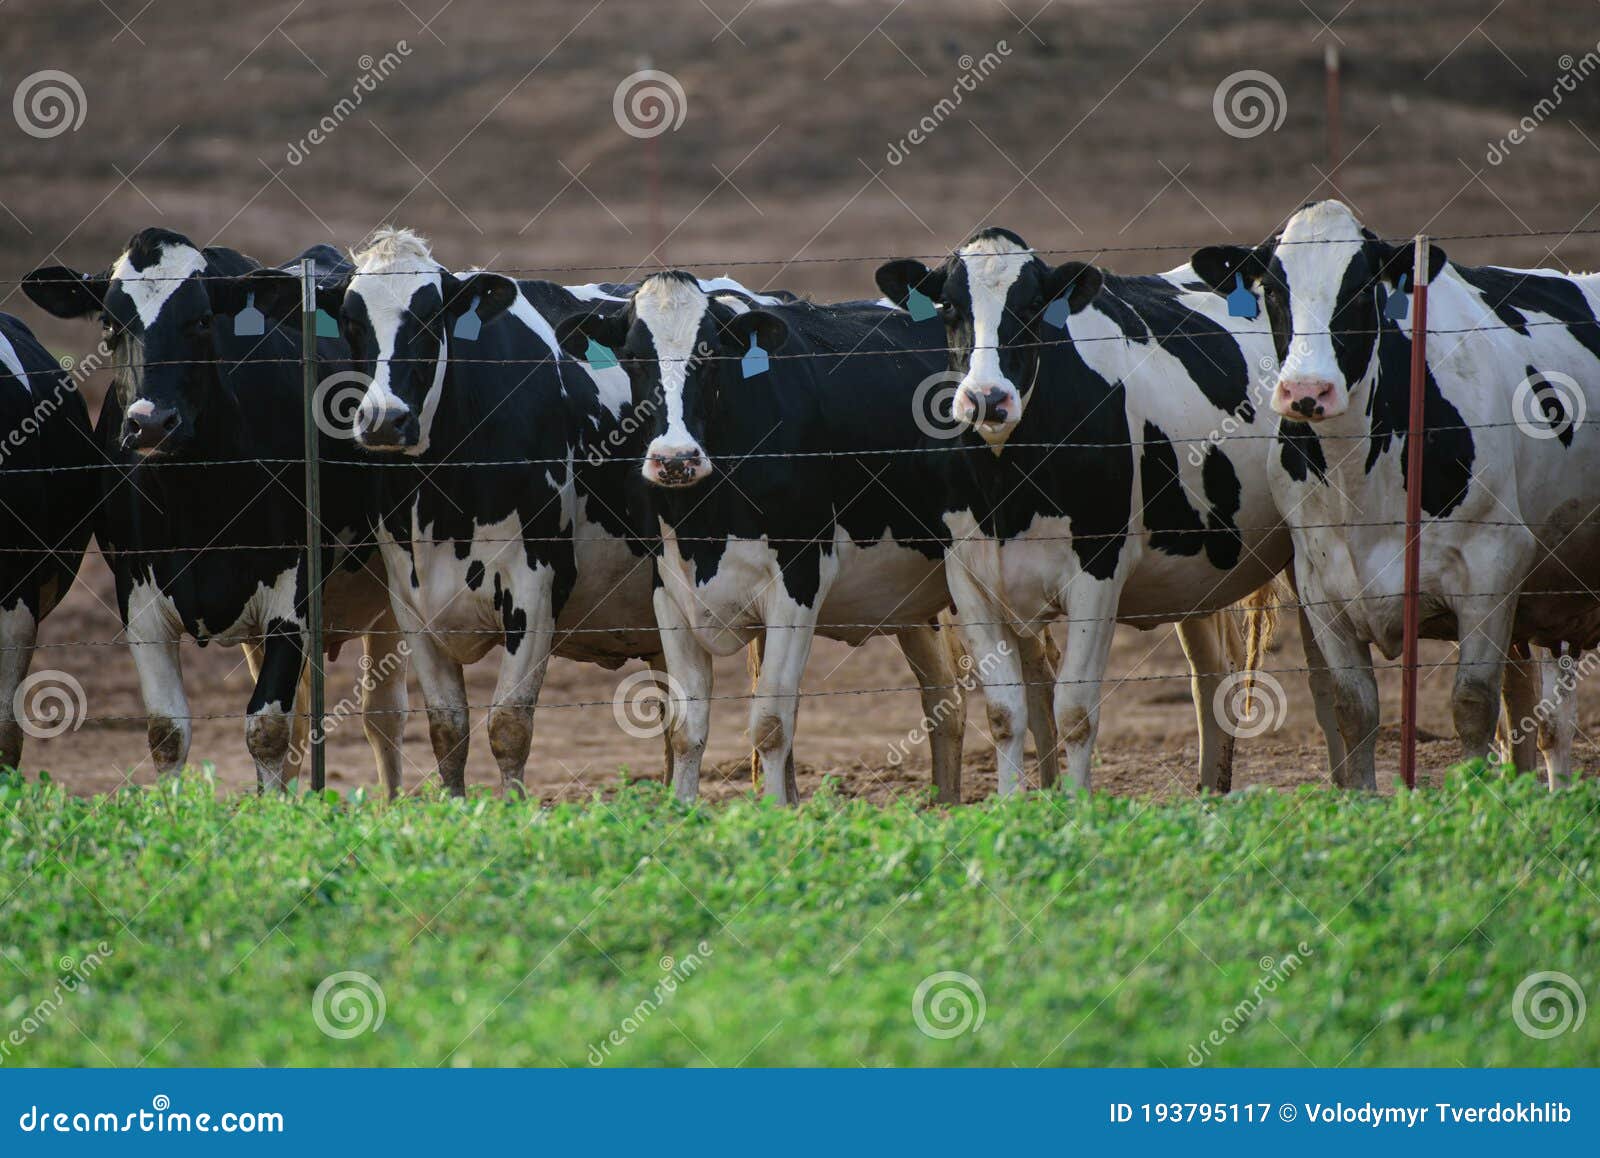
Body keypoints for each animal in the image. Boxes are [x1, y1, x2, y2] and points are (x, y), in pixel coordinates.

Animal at [22, 228, 406, 793]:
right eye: (110, 323)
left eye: (203, 319)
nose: (151, 422)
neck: (196, 497)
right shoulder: (137, 601)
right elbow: (167, 731)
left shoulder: (291, 597)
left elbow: (266, 729)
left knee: (383, 717)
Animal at [555, 271, 1062, 805]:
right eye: (633, 357)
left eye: (710, 357)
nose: (675, 459)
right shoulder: (671, 592)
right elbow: (684, 729)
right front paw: (683, 811)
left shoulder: (798, 581)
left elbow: (770, 723)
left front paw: (778, 811)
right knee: (943, 693)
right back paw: (947, 803)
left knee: (1039, 671)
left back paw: (1051, 790)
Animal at [875, 227, 1314, 795]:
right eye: (949, 305)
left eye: (1034, 307)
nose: (987, 399)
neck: (1007, 490)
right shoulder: (968, 579)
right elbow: (1004, 712)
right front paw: (1009, 804)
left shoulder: (1098, 572)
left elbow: (1075, 711)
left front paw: (1078, 805)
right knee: (1213, 670)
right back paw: (1209, 792)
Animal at [1191, 199, 1600, 789]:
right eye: (1273, 290)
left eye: (1363, 290)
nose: (1307, 392)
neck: (1359, 484)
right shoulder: (1321, 590)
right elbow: (1354, 710)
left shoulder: (1492, 571)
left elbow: (1472, 705)